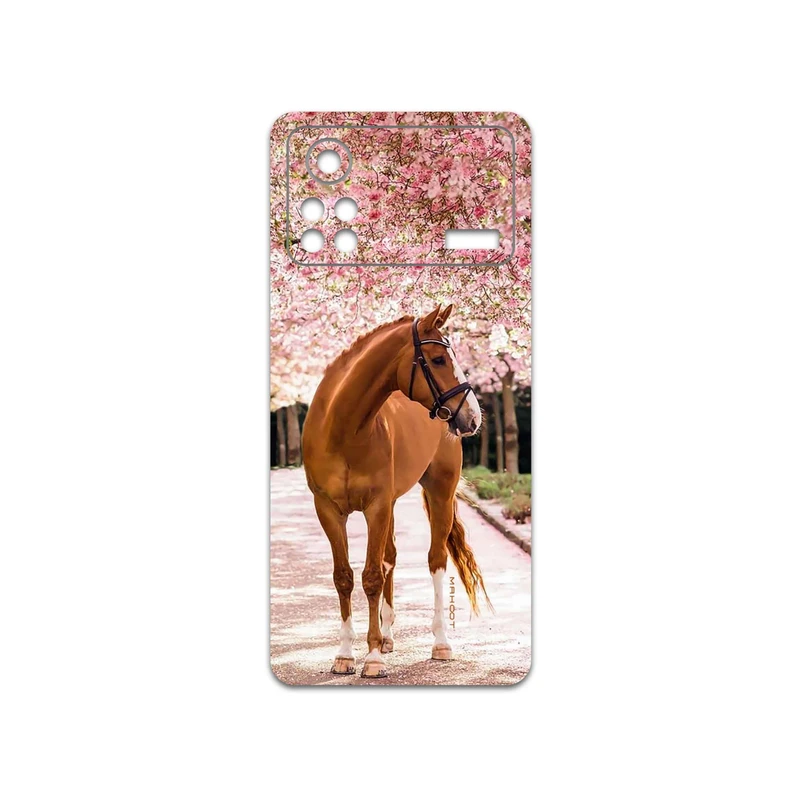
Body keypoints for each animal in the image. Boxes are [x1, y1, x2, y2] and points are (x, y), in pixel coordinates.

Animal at [302, 303, 491, 678]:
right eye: (438, 359)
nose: (473, 417)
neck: (343, 429)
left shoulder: (376, 506)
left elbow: (372, 576)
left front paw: (372, 658)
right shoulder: (328, 510)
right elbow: (344, 577)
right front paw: (345, 654)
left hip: (439, 493)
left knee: (435, 560)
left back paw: (440, 643)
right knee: (390, 557)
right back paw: (387, 636)